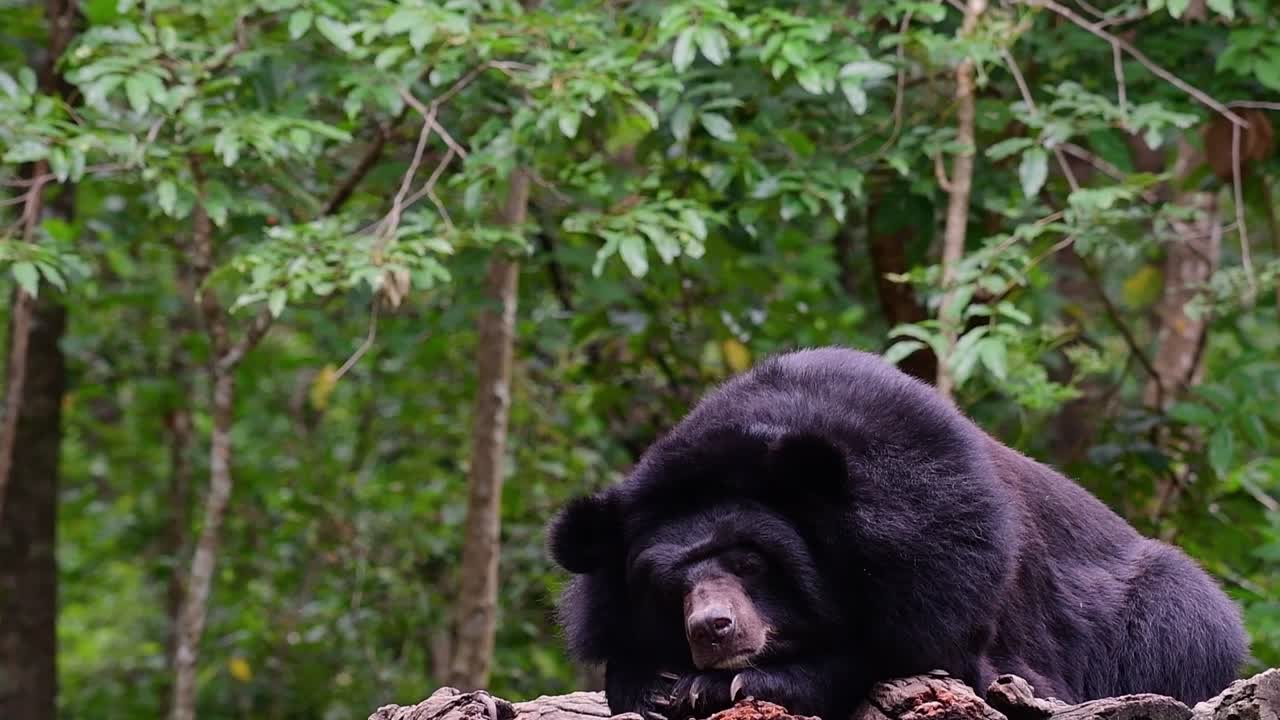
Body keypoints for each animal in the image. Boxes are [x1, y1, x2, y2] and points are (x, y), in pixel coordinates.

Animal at [546, 347, 1248, 720]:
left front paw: (723, 685)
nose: (713, 630)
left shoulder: (946, 551)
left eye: (750, 562)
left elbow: (918, 655)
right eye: (668, 587)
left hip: (1168, 621)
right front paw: (656, 683)